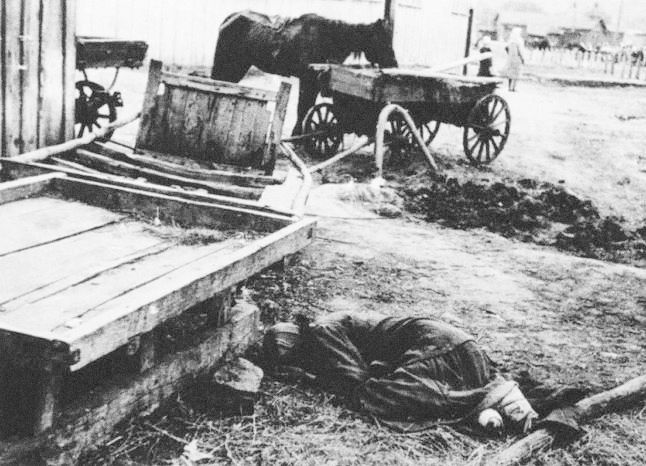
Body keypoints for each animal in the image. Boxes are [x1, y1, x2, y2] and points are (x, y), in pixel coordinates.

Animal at [211, 10, 400, 133]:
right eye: (382, 41)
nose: (394, 64)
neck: (328, 37)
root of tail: (230, 18)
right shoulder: (307, 80)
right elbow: (303, 107)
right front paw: (296, 135)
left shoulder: (315, 81)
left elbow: (307, 106)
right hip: (227, 64)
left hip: (238, 65)